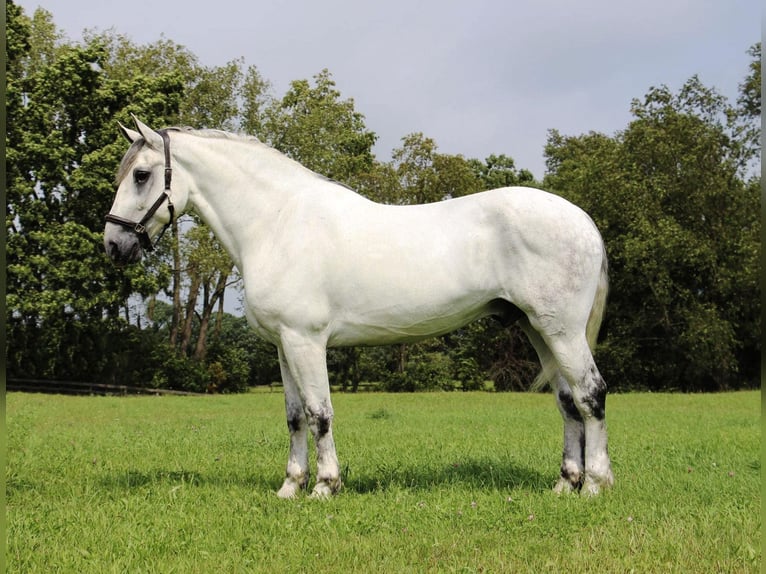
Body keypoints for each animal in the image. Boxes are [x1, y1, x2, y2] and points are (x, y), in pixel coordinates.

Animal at [103, 115, 616, 498]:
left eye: (142, 175)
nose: (113, 245)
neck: (276, 222)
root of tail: (583, 219)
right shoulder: (283, 346)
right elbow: (294, 416)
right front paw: (290, 488)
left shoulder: (306, 341)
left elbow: (319, 412)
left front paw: (324, 486)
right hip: (538, 329)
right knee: (568, 400)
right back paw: (564, 483)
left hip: (562, 331)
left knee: (590, 394)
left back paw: (595, 483)